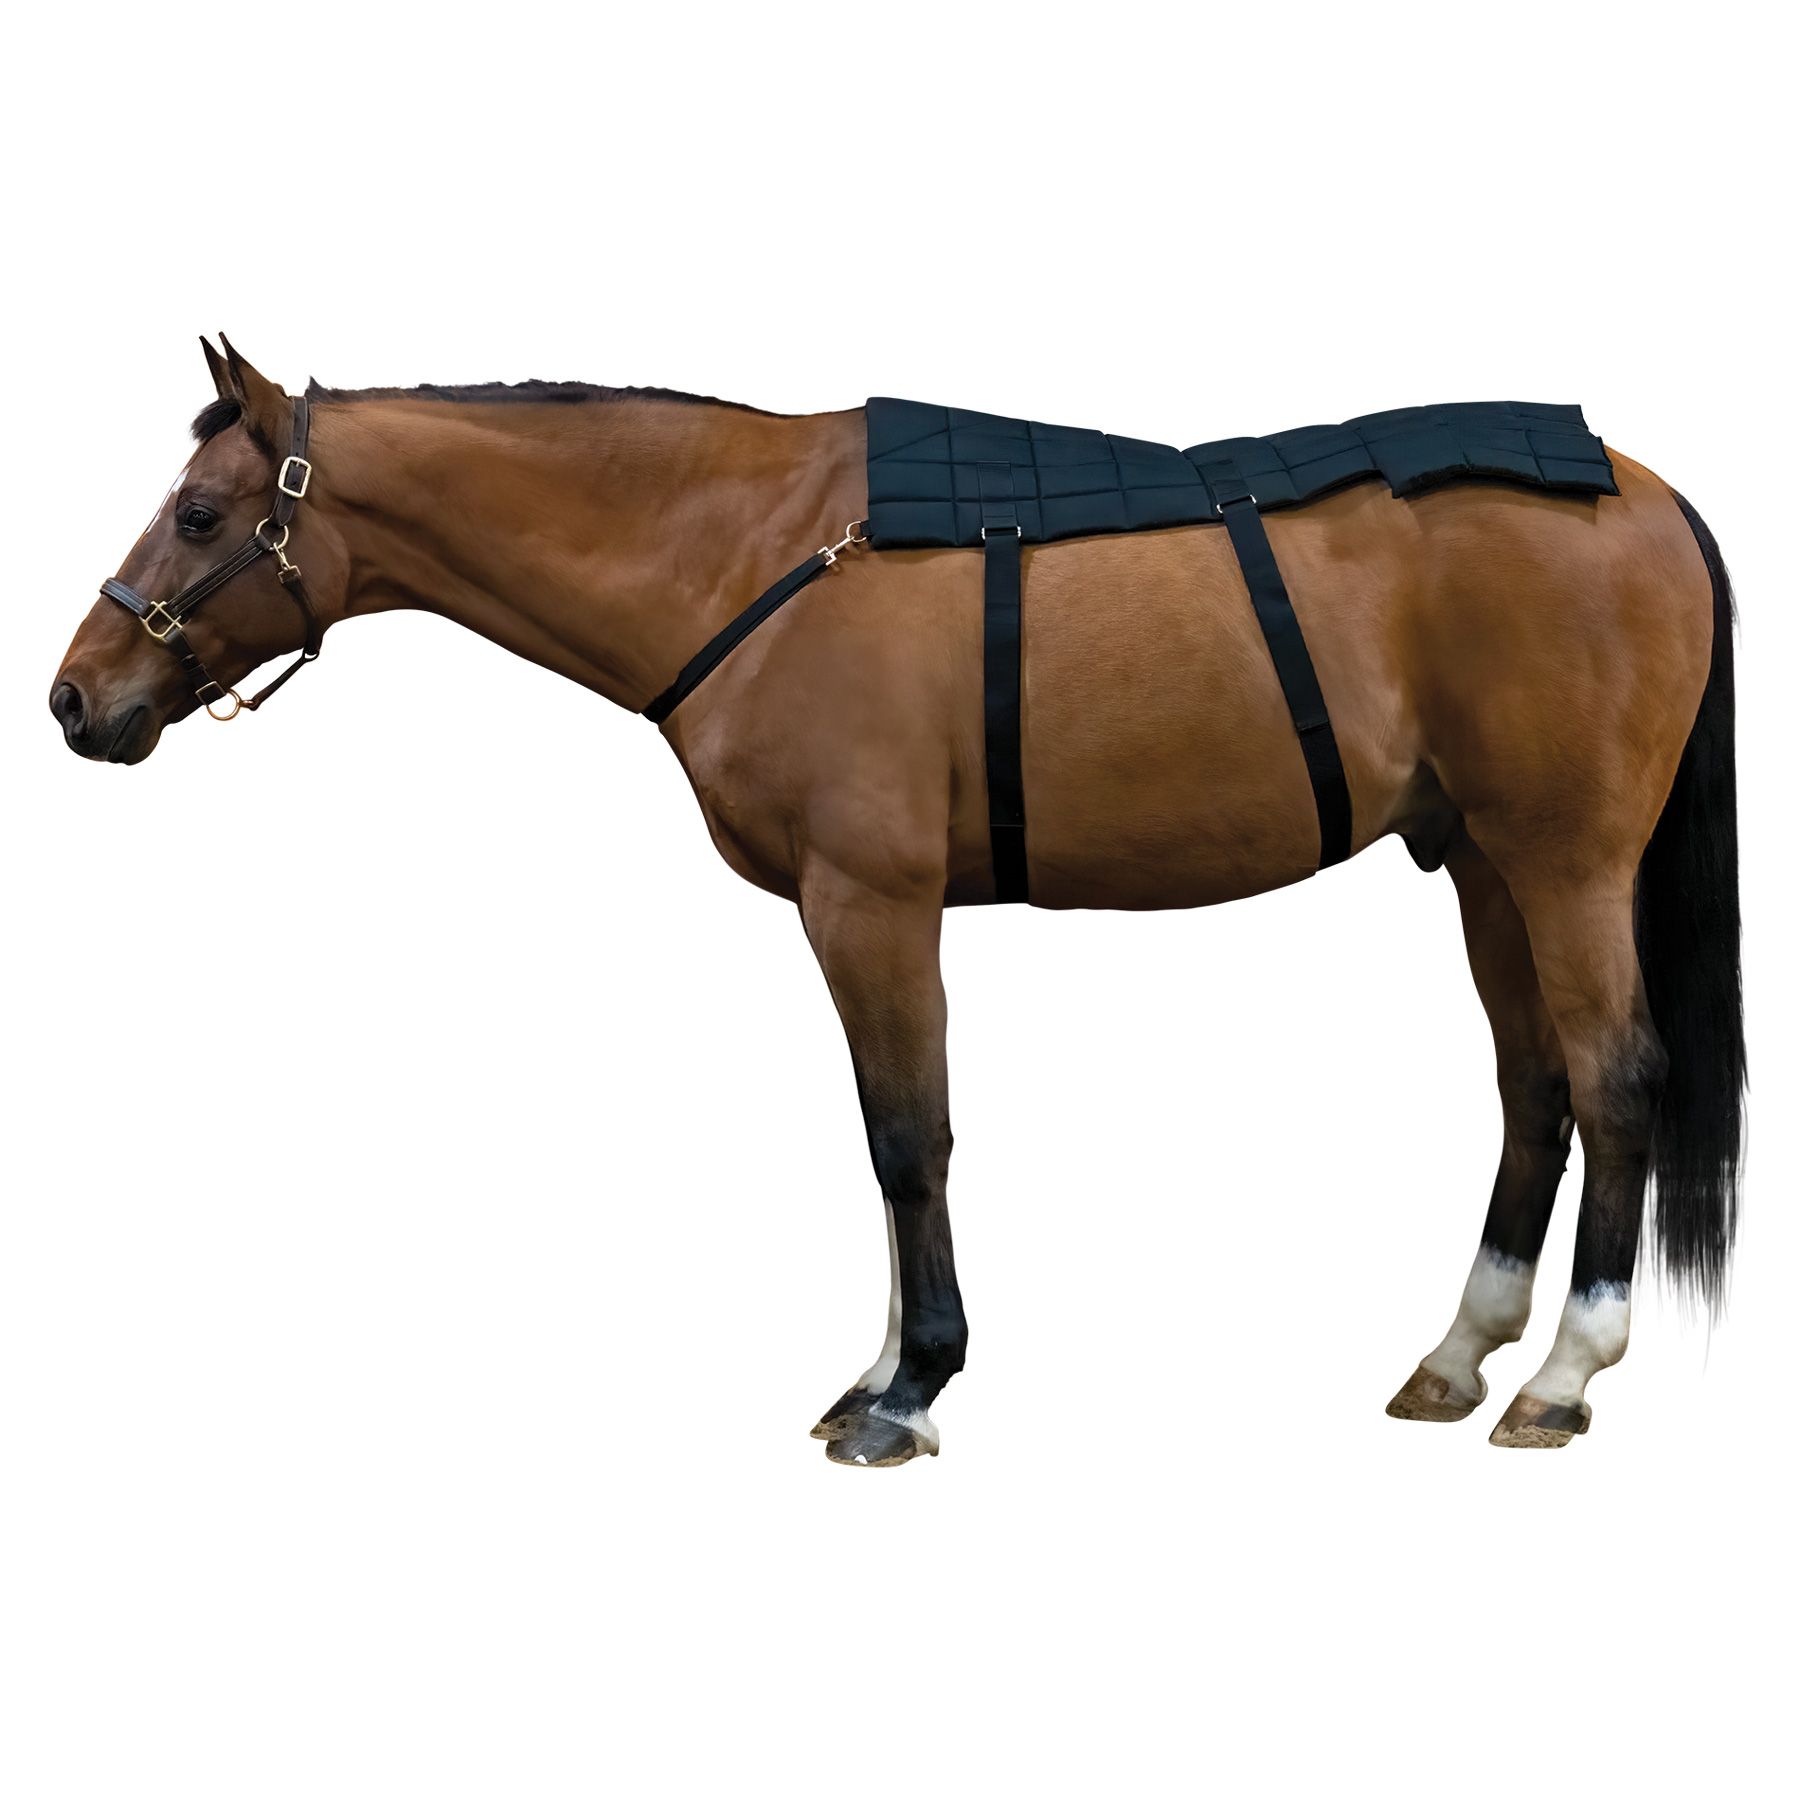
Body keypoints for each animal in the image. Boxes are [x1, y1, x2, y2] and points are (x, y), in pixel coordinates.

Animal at [50, 337, 1744, 1466]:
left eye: (200, 517)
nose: (77, 697)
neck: (751, 546)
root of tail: (1649, 495)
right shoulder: (862, 911)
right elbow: (884, 1142)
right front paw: (877, 1374)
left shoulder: (870, 903)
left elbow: (905, 1139)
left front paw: (911, 1388)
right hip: (1484, 865)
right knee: (1534, 1088)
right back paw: (1460, 1356)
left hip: (1566, 861)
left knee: (1614, 1079)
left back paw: (1563, 1375)